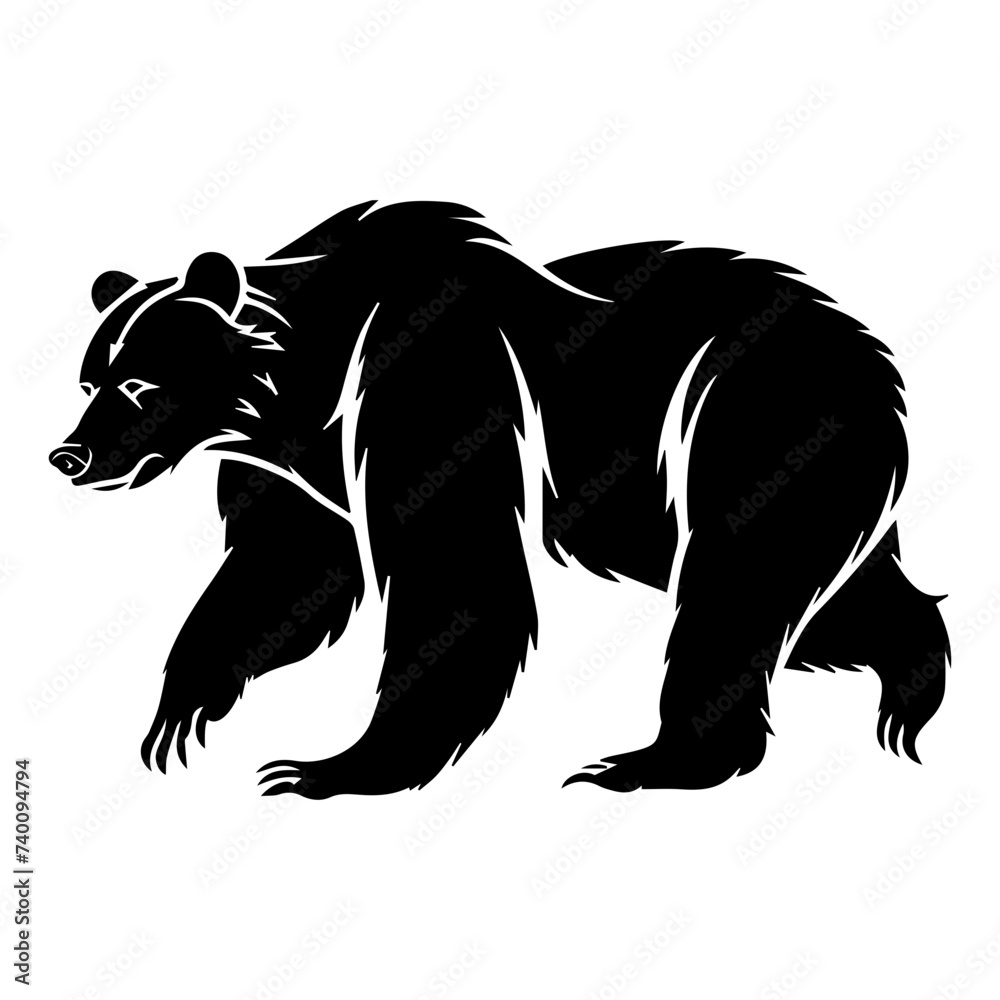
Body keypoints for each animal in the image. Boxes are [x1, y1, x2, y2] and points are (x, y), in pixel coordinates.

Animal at [49, 200, 951, 799]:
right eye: (90, 378)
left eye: (138, 383)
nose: (70, 454)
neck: (306, 392)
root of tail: (872, 351)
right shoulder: (305, 470)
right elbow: (287, 573)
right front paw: (180, 710)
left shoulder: (429, 380)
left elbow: (451, 577)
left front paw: (330, 767)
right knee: (823, 590)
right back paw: (909, 682)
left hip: (747, 421)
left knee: (736, 584)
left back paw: (650, 761)